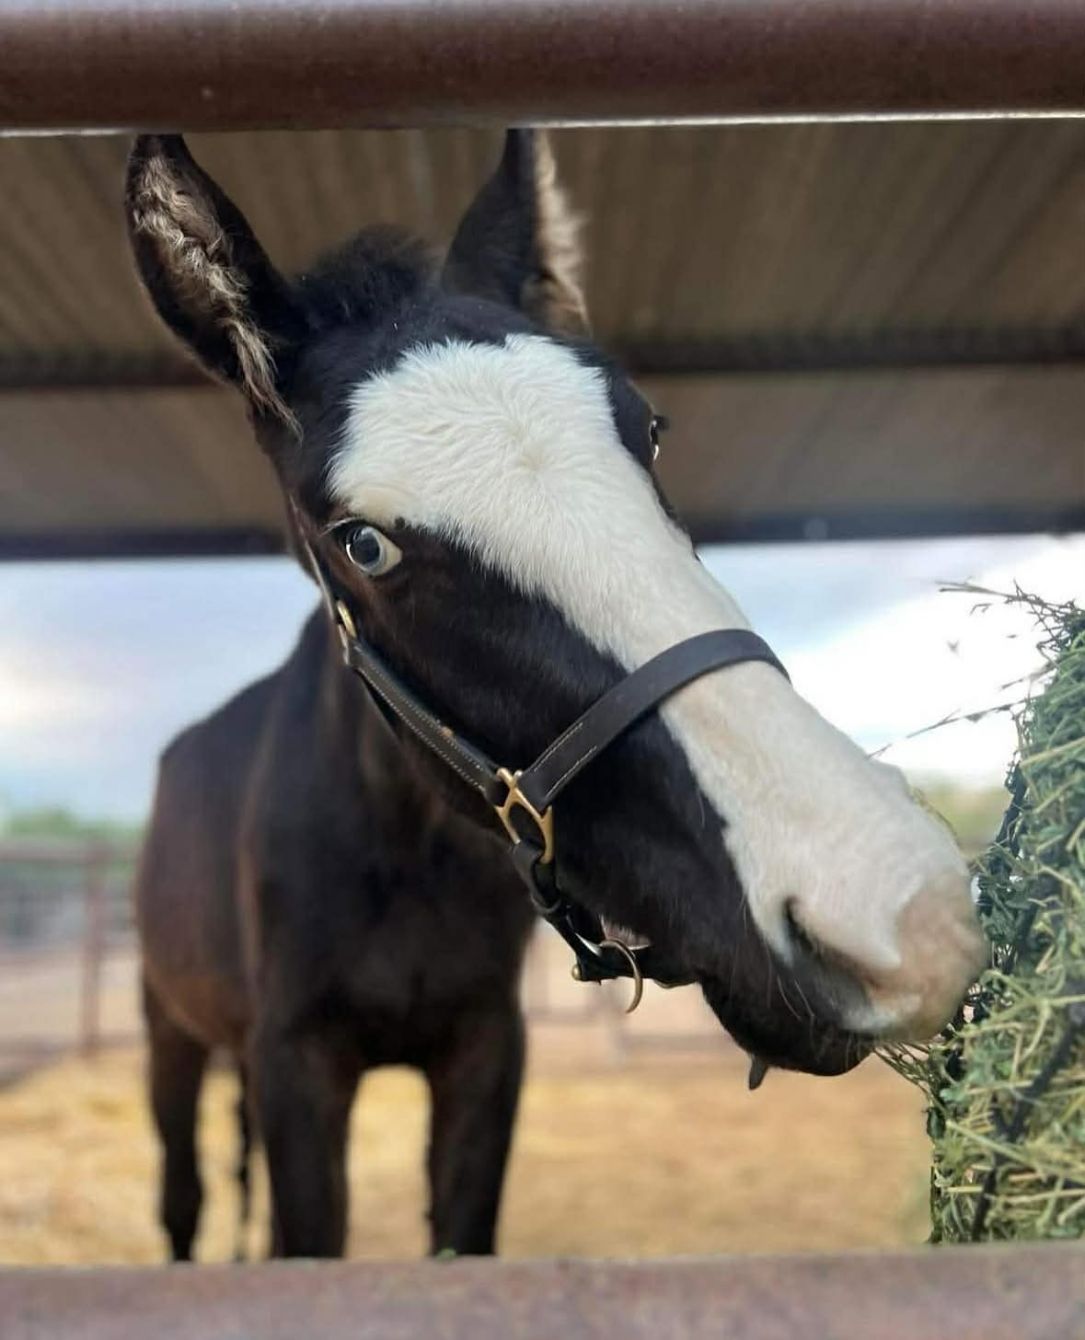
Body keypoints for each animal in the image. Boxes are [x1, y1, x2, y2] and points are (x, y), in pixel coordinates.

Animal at [125, 128, 985, 1261]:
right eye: (363, 543)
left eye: (649, 430)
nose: (898, 922)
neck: (403, 853)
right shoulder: (295, 1062)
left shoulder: (487, 1050)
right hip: (168, 1031)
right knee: (181, 1200)